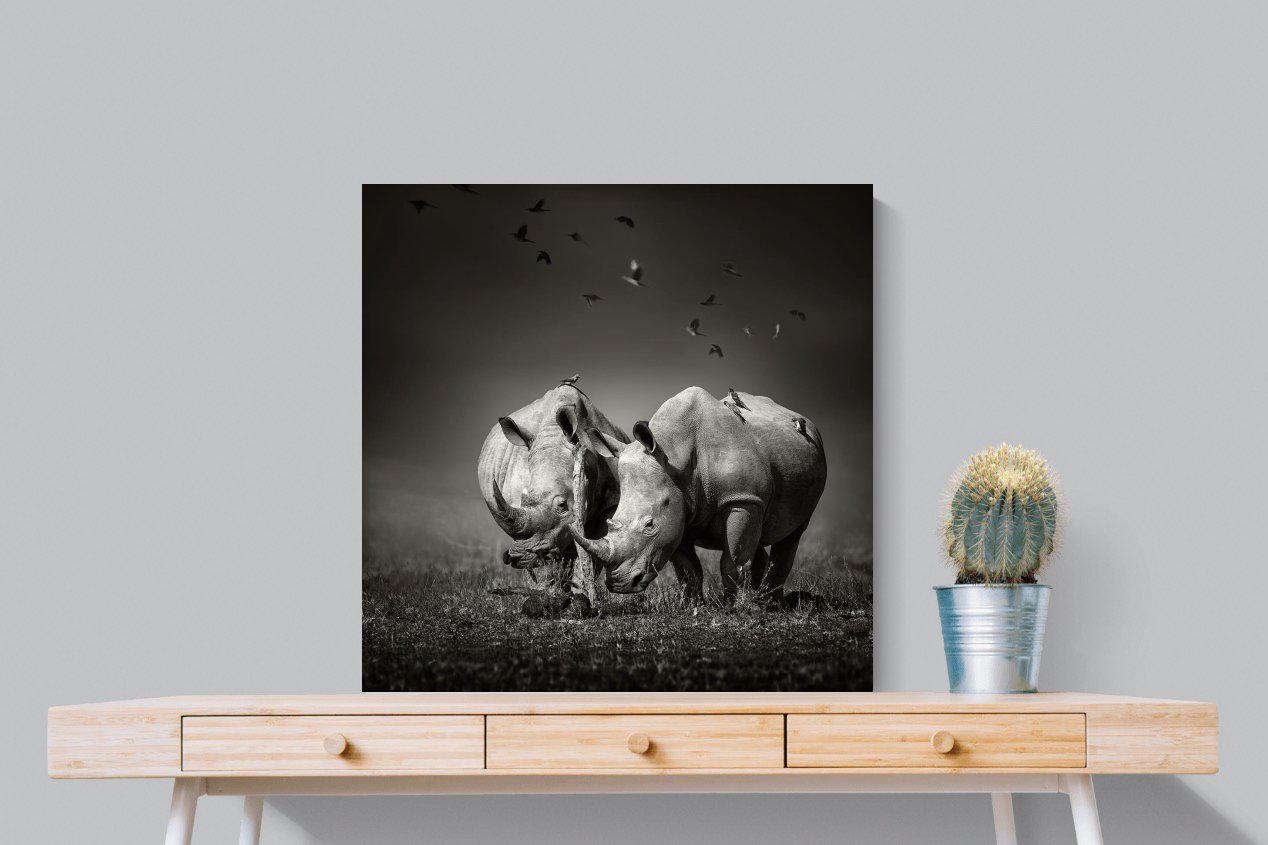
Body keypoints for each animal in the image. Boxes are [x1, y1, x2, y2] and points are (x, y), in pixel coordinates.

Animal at [477, 383, 628, 606]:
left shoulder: (610, 503)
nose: (516, 557)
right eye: (524, 499)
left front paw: (582, 596)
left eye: (563, 505)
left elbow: (593, 549)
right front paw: (549, 596)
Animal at [571, 386, 826, 604]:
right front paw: (693, 605)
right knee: (759, 536)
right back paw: (761, 599)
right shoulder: (678, 507)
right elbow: (689, 568)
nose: (619, 584)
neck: (673, 455)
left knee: (793, 534)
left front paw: (733, 607)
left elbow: (732, 561)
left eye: (650, 525)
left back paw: (771, 603)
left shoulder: (743, 499)